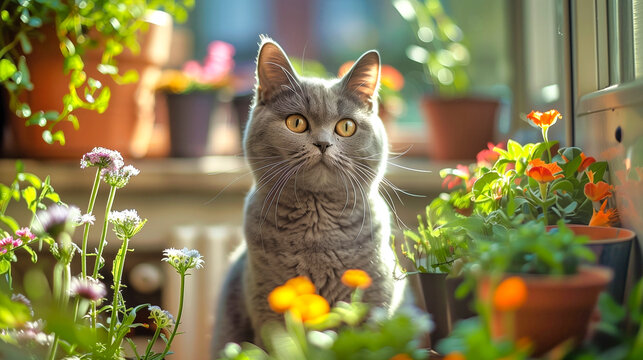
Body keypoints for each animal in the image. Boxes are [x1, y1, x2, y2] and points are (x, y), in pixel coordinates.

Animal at [213, 36, 402, 354]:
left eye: (346, 126)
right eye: (297, 122)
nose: (323, 144)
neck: (317, 230)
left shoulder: (375, 305)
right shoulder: (268, 309)